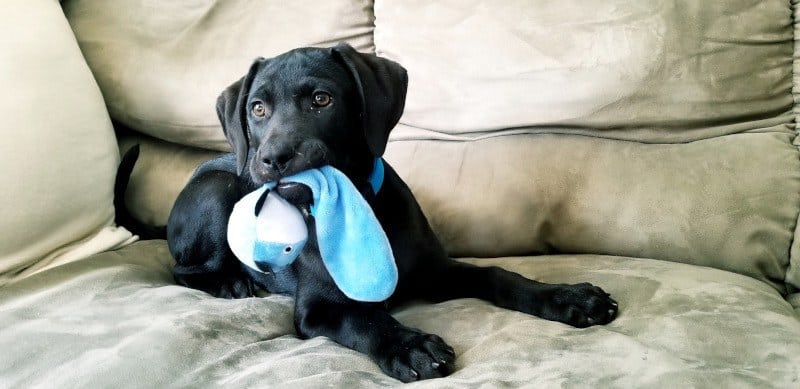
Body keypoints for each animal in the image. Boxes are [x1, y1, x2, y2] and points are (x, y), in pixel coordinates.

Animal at [167, 43, 620, 382]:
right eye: (258, 108)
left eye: (321, 100)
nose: (273, 159)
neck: (357, 208)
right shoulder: (318, 309)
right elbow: (364, 321)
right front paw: (409, 345)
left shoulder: (435, 271)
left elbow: (496, 274)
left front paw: (566, 296)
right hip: (220, 192)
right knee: (182, 269)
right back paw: (230, 282)